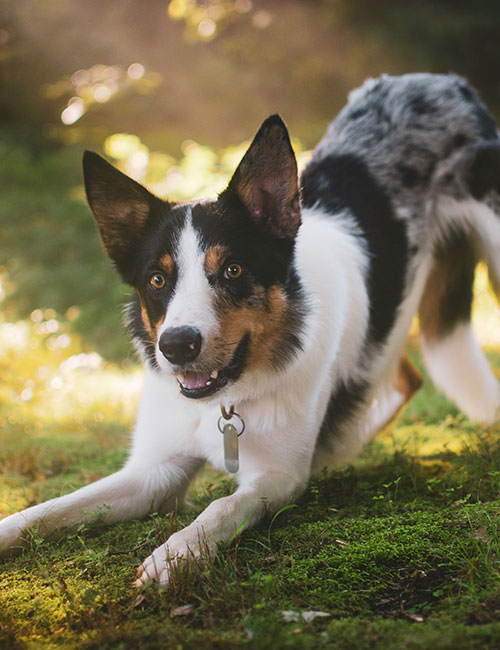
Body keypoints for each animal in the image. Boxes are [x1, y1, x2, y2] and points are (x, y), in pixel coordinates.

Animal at [0, 73, 500, 584]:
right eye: (157, 280)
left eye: (233, 270)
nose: (177, 346)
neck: (223, 401)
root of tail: (438, 79)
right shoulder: (152, 474)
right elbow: (49, 509)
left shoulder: (275, 478)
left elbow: (220, 507)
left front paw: (176, 553)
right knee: (404, 375)